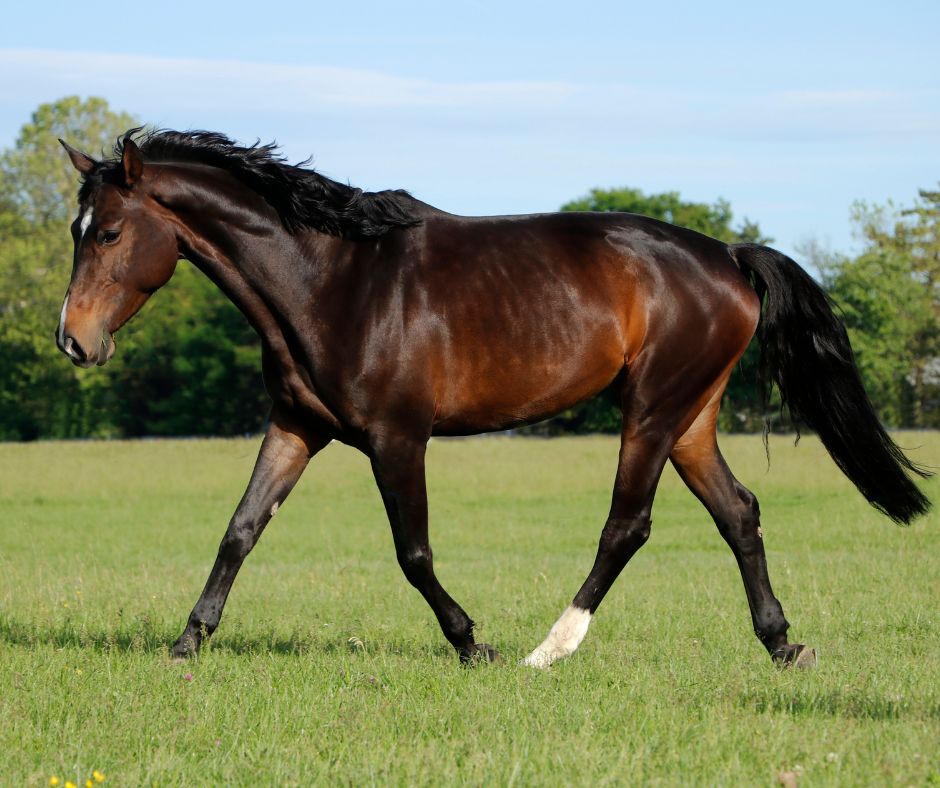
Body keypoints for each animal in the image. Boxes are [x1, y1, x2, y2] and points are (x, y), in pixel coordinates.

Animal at [56, 129, 930, 668]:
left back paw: (548, 649)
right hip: (690, 419)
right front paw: (186, 644)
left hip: (650, 413)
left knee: (627, 527)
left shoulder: (397, 438)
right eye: (75, 230)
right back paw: (783, 645)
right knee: (739, 513)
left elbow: (412, 554)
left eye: (109, 233)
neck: (332, 282)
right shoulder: (297, 426)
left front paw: (471, 643)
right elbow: (239, 532)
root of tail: (728, 254)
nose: (73, 341)